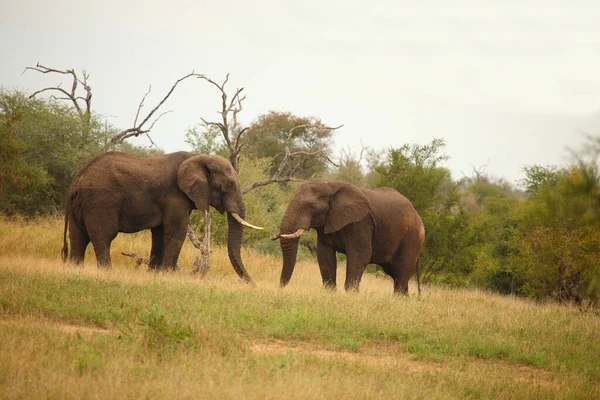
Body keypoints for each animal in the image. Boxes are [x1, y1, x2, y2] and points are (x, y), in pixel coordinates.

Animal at [272, 181, 426, 294]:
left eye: (311, 206)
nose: (281, 288)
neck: (330, 186)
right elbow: (324, 255)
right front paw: (330, 293)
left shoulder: (360, 223)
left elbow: (360, 255)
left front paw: (351, 295)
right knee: (396, 275)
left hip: (411, 239)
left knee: (401, 272)